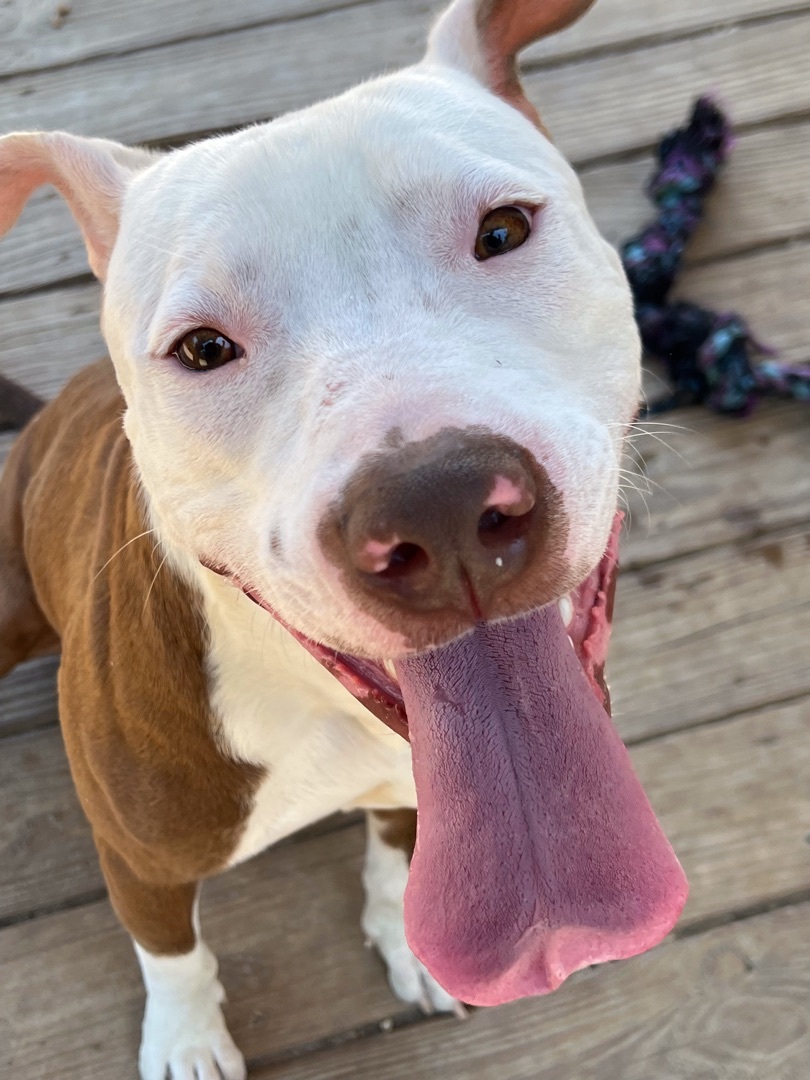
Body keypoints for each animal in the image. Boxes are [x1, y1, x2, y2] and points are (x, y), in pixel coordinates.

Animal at [0, 0, 691, 1075]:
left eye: (503, 230)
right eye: (203, 348)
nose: (439, 507)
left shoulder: (413, 791)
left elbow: (397, 853)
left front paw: (403, 943)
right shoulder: (139, 857)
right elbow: (173, 955)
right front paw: (188, 1038)